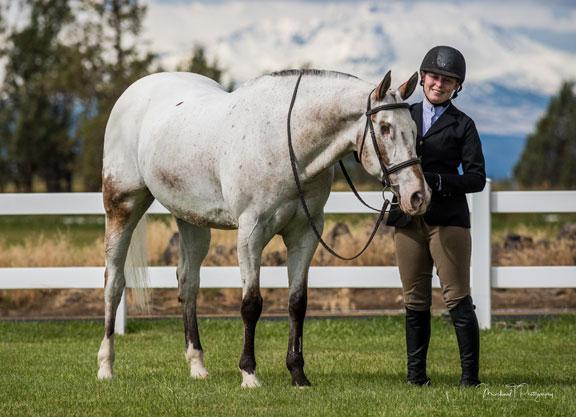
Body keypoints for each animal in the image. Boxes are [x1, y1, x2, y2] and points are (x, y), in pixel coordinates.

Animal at [97, 67, 428, 386]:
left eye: (413, 130)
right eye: (385, 128)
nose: (417, 195)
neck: (286, 142)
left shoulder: (304, 234)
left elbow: (297, 303)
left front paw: (298, 374)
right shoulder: (251, 234)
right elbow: (251, 304)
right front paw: (249, 374)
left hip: (191, 220)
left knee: (188, 283)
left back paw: (198, 366)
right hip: (122, 207)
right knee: (114, 282)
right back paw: (106, 367)